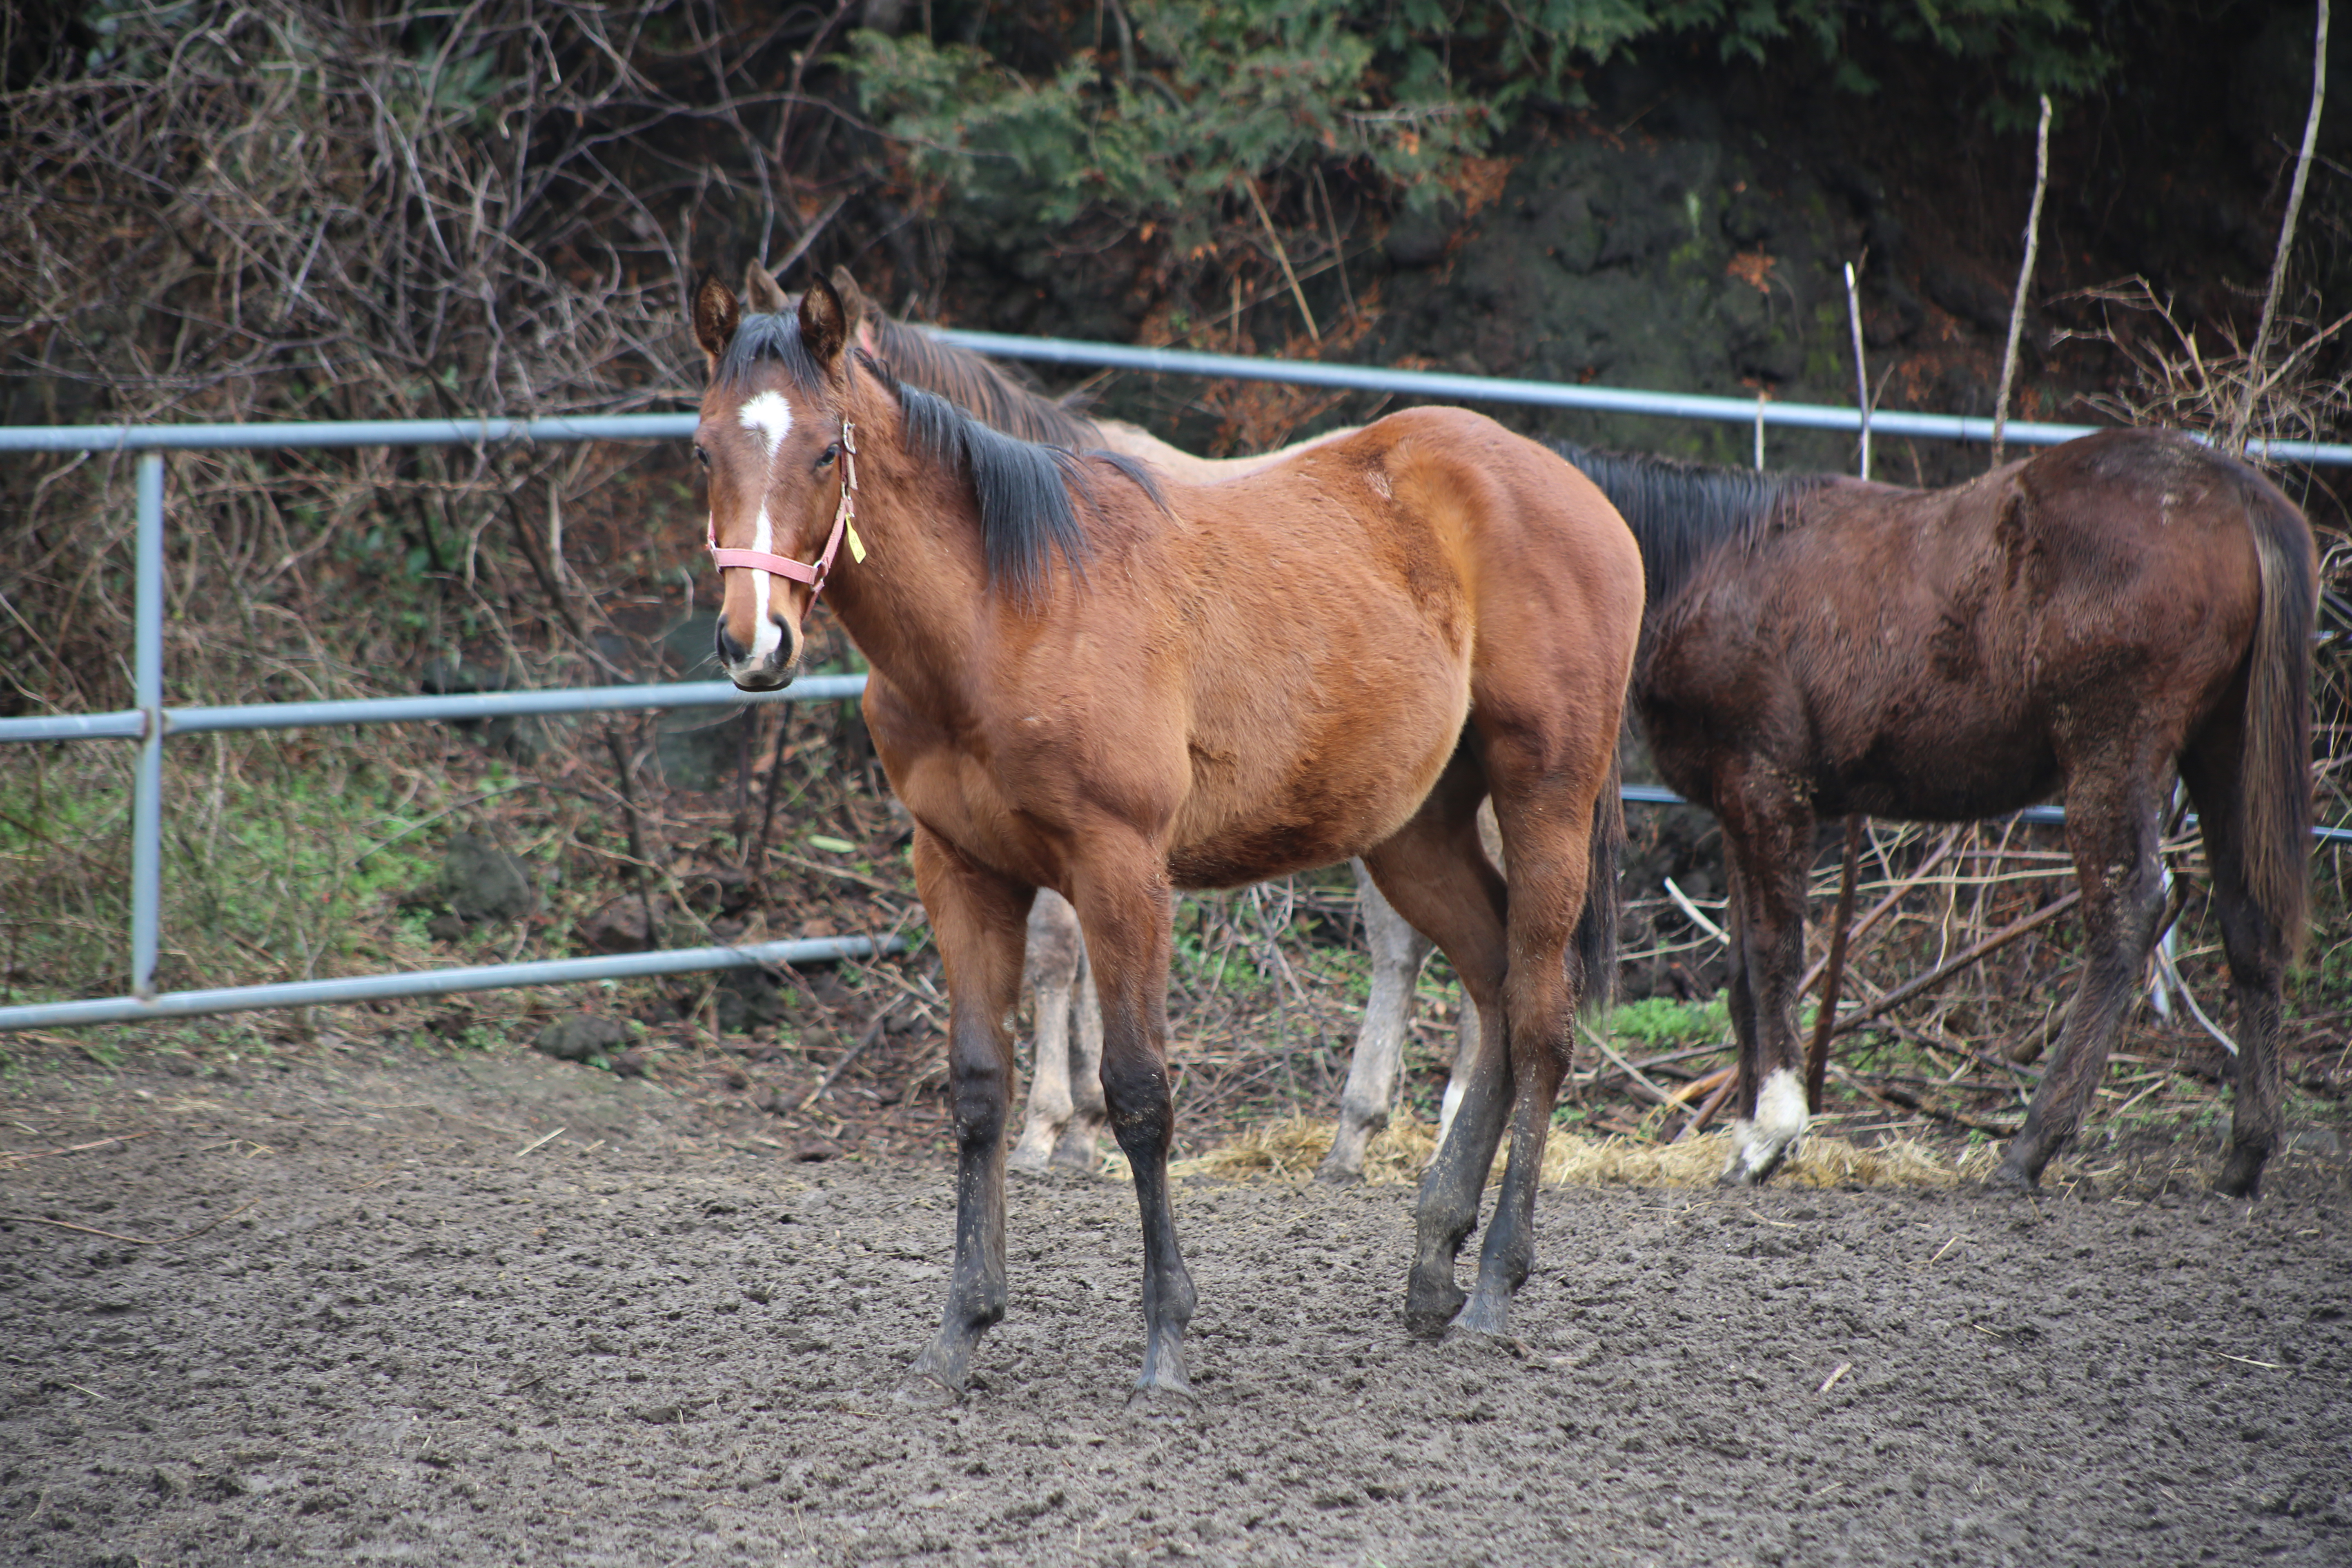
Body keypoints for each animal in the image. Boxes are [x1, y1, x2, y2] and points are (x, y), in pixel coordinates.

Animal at [686, 272, 1646, 1401]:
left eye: (825, 453)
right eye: (703, 449)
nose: (755, 643)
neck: (1007, 607)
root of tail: (1573, 490)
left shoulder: (1120, 869)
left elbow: (1139, 1092)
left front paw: (1164, 1342)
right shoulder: (961, 870)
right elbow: (978, 1091)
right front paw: (959, 1332)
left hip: (1545, 796)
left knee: (1540, 1017)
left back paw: (1493, 1283)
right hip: (1413, 832)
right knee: (1493, 985)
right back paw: (1431, 1260)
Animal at [1561, 435, 2314, 1194]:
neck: (1711, 563)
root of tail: (2235, 493)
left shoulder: (1765, 788)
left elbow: (1772, 955)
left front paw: (1771, 1133)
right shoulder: (1735, 801)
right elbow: (1744, 974)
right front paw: (1750, 1137)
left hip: (2112, 751)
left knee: (2127, 914)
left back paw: (2032, 1144)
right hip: (2223, 749)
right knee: (2249, 923)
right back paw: (2245, 1156)